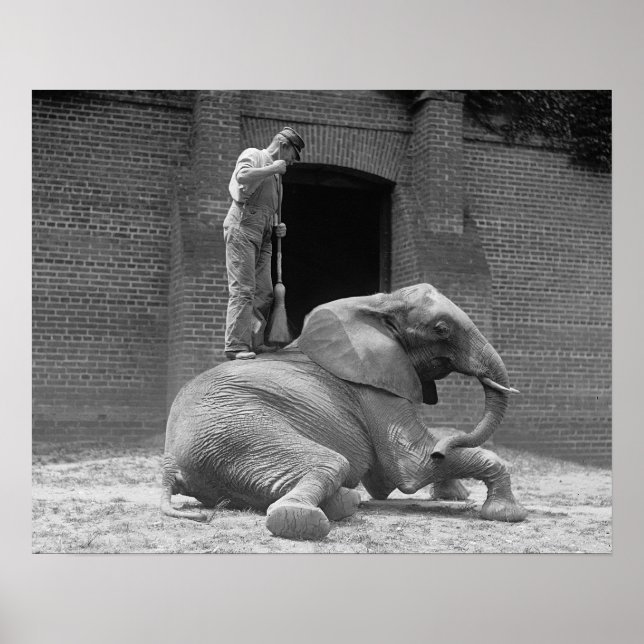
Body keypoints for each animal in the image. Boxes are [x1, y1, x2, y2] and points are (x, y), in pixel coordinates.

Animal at [161, 283, 527, 540]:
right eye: (441, 329)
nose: (443, 452)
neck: (380, 303)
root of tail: (169, 465)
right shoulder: (372, 388)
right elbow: (412, 466)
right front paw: (507, 514)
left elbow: (391, 476)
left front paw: (453, 492)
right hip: (238, 433)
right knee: (331, 462)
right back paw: (304, 518)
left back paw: (347, 502)